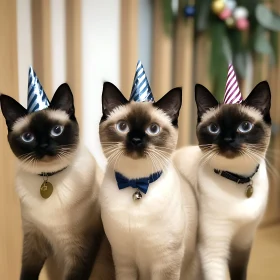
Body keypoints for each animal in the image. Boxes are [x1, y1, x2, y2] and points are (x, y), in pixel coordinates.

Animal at [0, 84, 114, 280]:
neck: (49, 177)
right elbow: (27, 272)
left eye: (56, 130)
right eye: (28, 137)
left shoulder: (80, 246)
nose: (44, 146)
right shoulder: (33, 238)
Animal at [98, 81, 199, 280]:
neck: (137, 185)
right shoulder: (123, 259)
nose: (136, 140)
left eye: (153, 129)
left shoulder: (166, 260)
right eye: (122, 126)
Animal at [174, 81, 270, 280]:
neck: (239, 179)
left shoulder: (244, 243)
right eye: (214, 129)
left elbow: (240, 274)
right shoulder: (213, 250)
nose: (227, 140)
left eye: (245, 126)